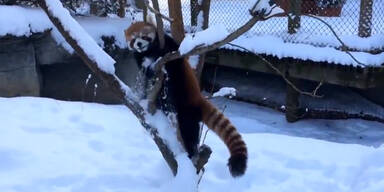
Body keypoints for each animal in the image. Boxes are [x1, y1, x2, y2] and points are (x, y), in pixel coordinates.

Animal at [124, 21, 248, 177]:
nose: (139, 44)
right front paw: (149, 68)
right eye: (133, 40)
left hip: (187, 111)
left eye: (143, 36)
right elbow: (145, 69)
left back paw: (192, 152)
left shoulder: (168, 45)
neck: (149, 52)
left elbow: (173, 52)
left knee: (189, 132)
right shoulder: (139, 57)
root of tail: (198, 98)